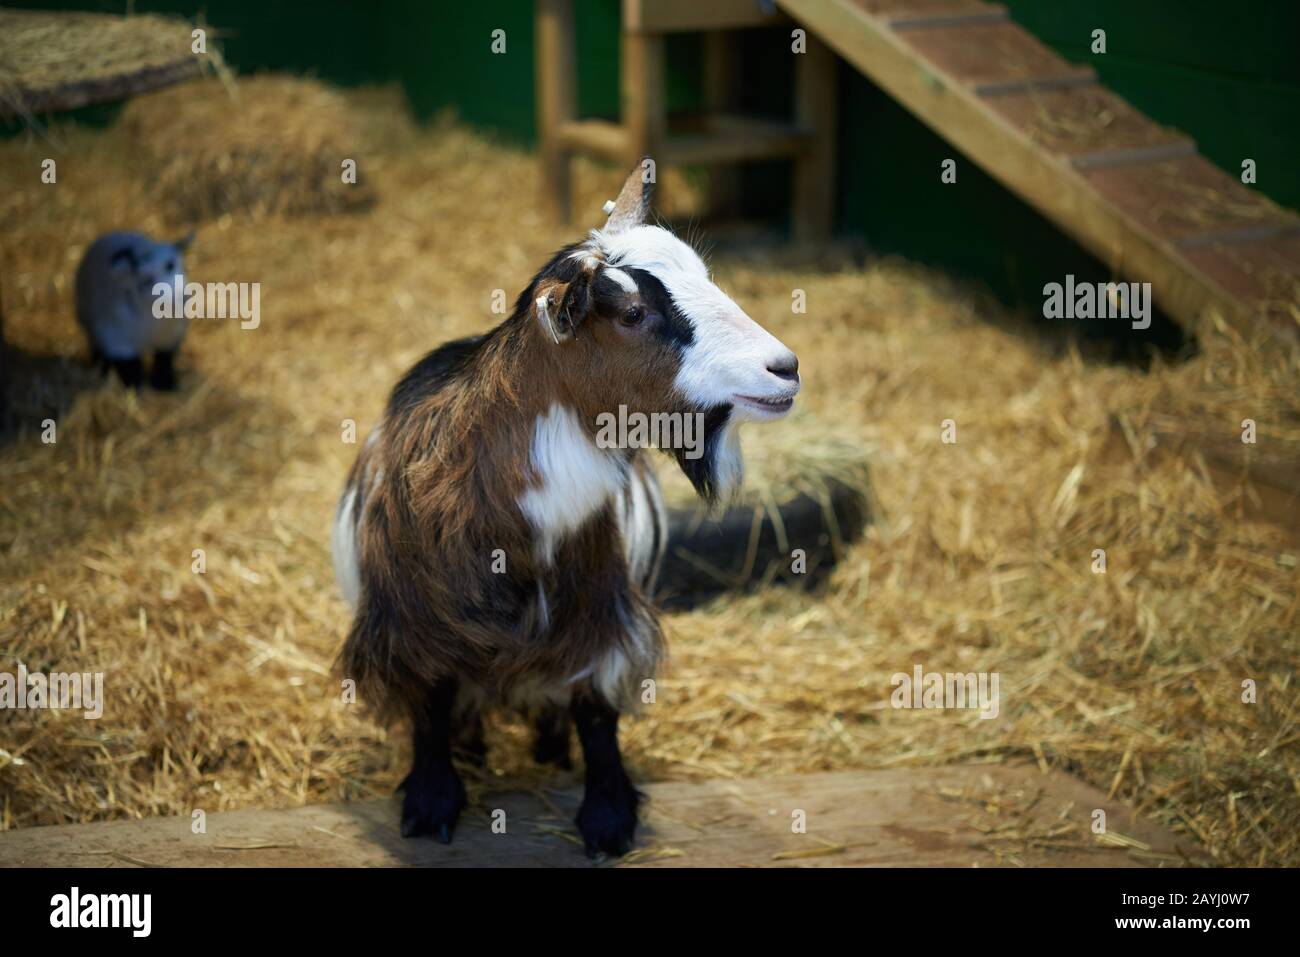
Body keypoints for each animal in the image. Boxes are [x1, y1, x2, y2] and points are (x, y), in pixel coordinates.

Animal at [331, 161, 800, 857]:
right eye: (632, 312)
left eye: (704, 275)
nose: (784, 368)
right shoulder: (411, 622)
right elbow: (431, 705)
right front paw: (431, 801)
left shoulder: (601, 606)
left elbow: (595, 708)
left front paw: (607, 816)